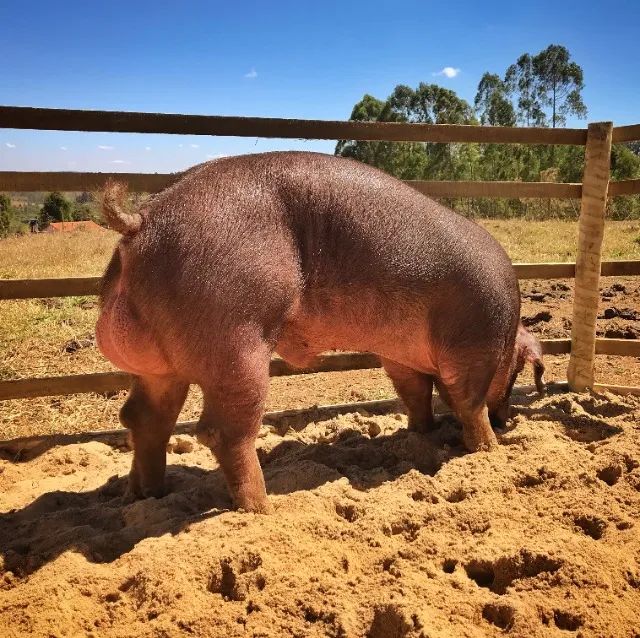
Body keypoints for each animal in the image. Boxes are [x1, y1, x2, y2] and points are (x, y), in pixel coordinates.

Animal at [97, 151, 545, 513]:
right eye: (517, 371)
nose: (507, 420)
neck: (508, 333)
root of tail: (143, 222)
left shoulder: (400, 354)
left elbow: (415, 396)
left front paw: (422, 433)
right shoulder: (474, 346)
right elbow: (469, 402)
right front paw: (489, 448)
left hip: (158, 367)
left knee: (143, 417)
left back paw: (146, 495)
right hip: (236, 340)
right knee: (222, 432)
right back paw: (263, 509)